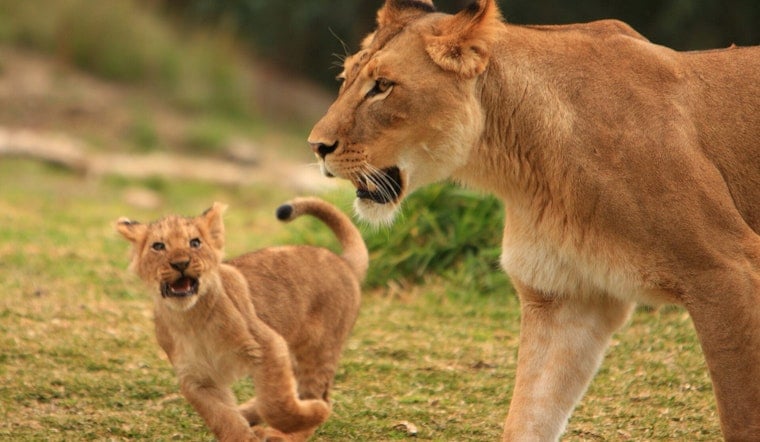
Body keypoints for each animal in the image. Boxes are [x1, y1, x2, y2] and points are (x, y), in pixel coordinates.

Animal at [116, 197, 367, 441]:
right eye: (158, 246)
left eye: (195, 243)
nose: (180, 263)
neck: (191, 318)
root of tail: (343, 261)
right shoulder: (196, 377)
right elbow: (222, 418)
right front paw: (243, 432)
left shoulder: (268, 345)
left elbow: (275, 404)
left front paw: (312, 413)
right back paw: (248, 414)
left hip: (319, 349)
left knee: (316, 395)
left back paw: (292, 427)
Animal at [307, 0, 760, 440]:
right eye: (345, 78)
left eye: (383, 86)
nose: (317, 146)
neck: (523, 165)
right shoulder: (565, 297)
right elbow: (529, 416)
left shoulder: (726, 272)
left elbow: (742, 417)